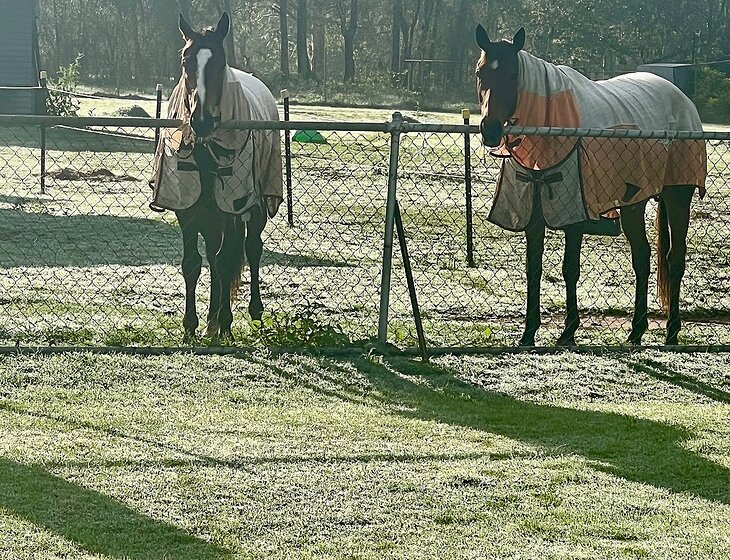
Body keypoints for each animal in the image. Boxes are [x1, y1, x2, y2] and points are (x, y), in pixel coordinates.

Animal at [152, 12, 282, 343]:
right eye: (185, 60)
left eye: (219, 61)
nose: (201, 121)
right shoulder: (188, 208)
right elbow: (193, 264)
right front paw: (191, 325)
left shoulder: (233, 206)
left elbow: (226, 261)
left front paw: (225, 321)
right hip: (211, 214)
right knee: (213, 255)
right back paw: (212, 321)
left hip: (252, 208)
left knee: (251, 249)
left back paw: (251, 314)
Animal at [474, 25, 707, 346]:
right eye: (480, 73)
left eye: (512, 75)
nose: (491, 130)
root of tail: (684, 102)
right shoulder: (535, 212)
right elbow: (533, 268)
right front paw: (528, 333)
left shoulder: (574, 215)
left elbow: (570, 269)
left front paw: (569, 331)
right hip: (634, 203)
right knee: (642, 257)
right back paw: (636, 330)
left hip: (677, 196)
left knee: (675, 259)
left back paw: (671, 331)